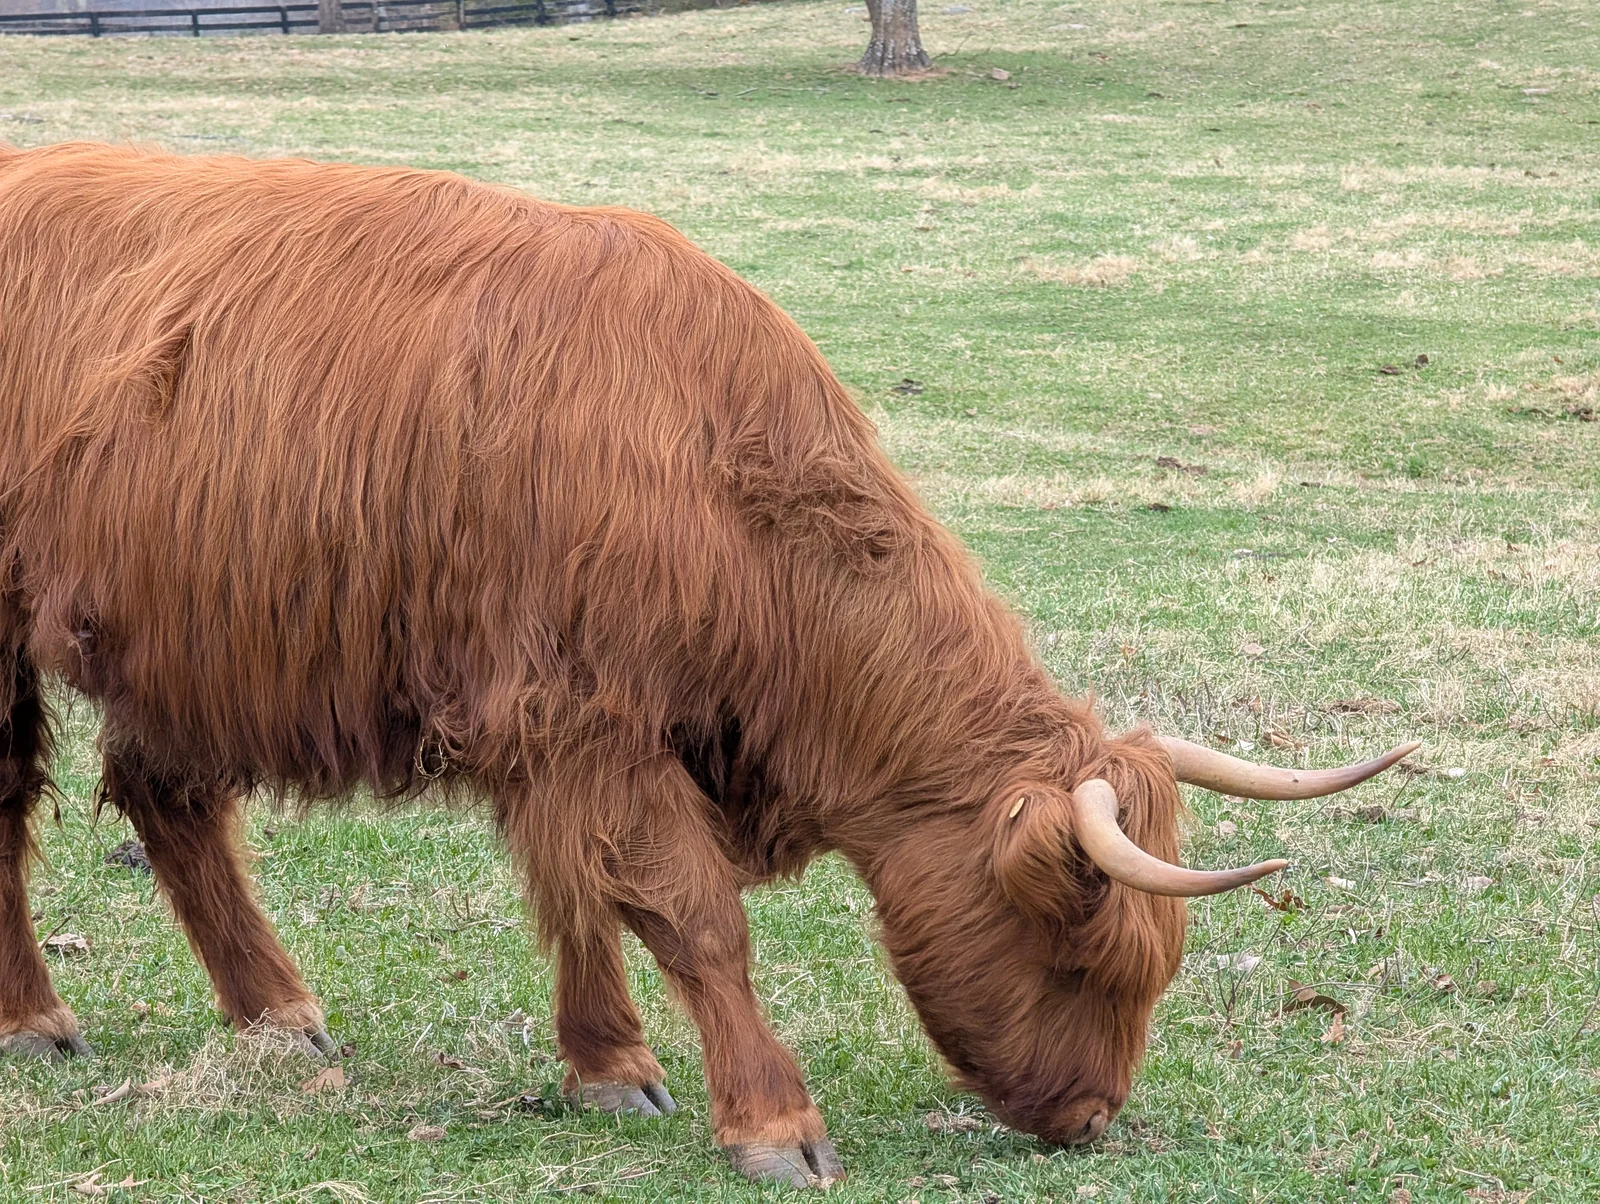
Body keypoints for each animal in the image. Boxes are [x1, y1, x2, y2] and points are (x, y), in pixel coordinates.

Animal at [0, 142, 1416, 1187]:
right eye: (1082, 953)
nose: (1090, 1117)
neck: (724, 482)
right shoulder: (588, 715)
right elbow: (694, 917)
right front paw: (773, 1121)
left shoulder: (544, 725)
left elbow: (572, 893)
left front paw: (607, 1063)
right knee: (14, 809)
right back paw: (36, 1017)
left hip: (169, 644)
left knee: (170, 802)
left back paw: (280, 1017)